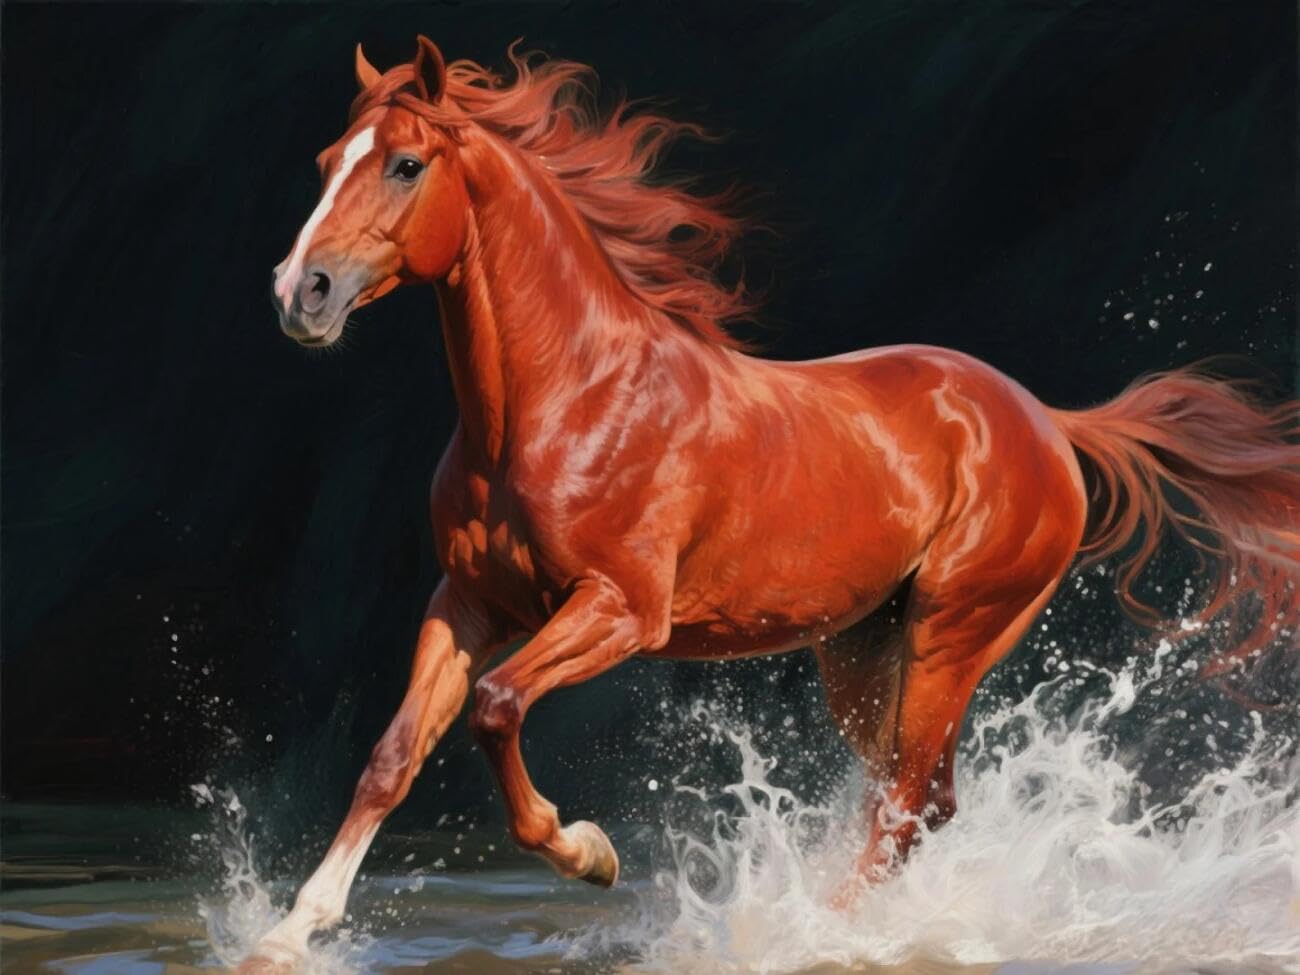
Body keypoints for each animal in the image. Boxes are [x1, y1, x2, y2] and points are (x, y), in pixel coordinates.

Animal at [241, 36, 1300, 972]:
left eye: (407, 164)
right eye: (330, 162)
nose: (301, 292)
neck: (562, 400)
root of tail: (1047, 421)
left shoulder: (620, 609)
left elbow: (498, 708)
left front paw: (590, 852)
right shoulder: (468, 602)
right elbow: (394, 755)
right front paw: (286, 936)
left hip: (953, 633)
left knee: (907, 802)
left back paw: (817, 933)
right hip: (865, 654)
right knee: (917, 800)